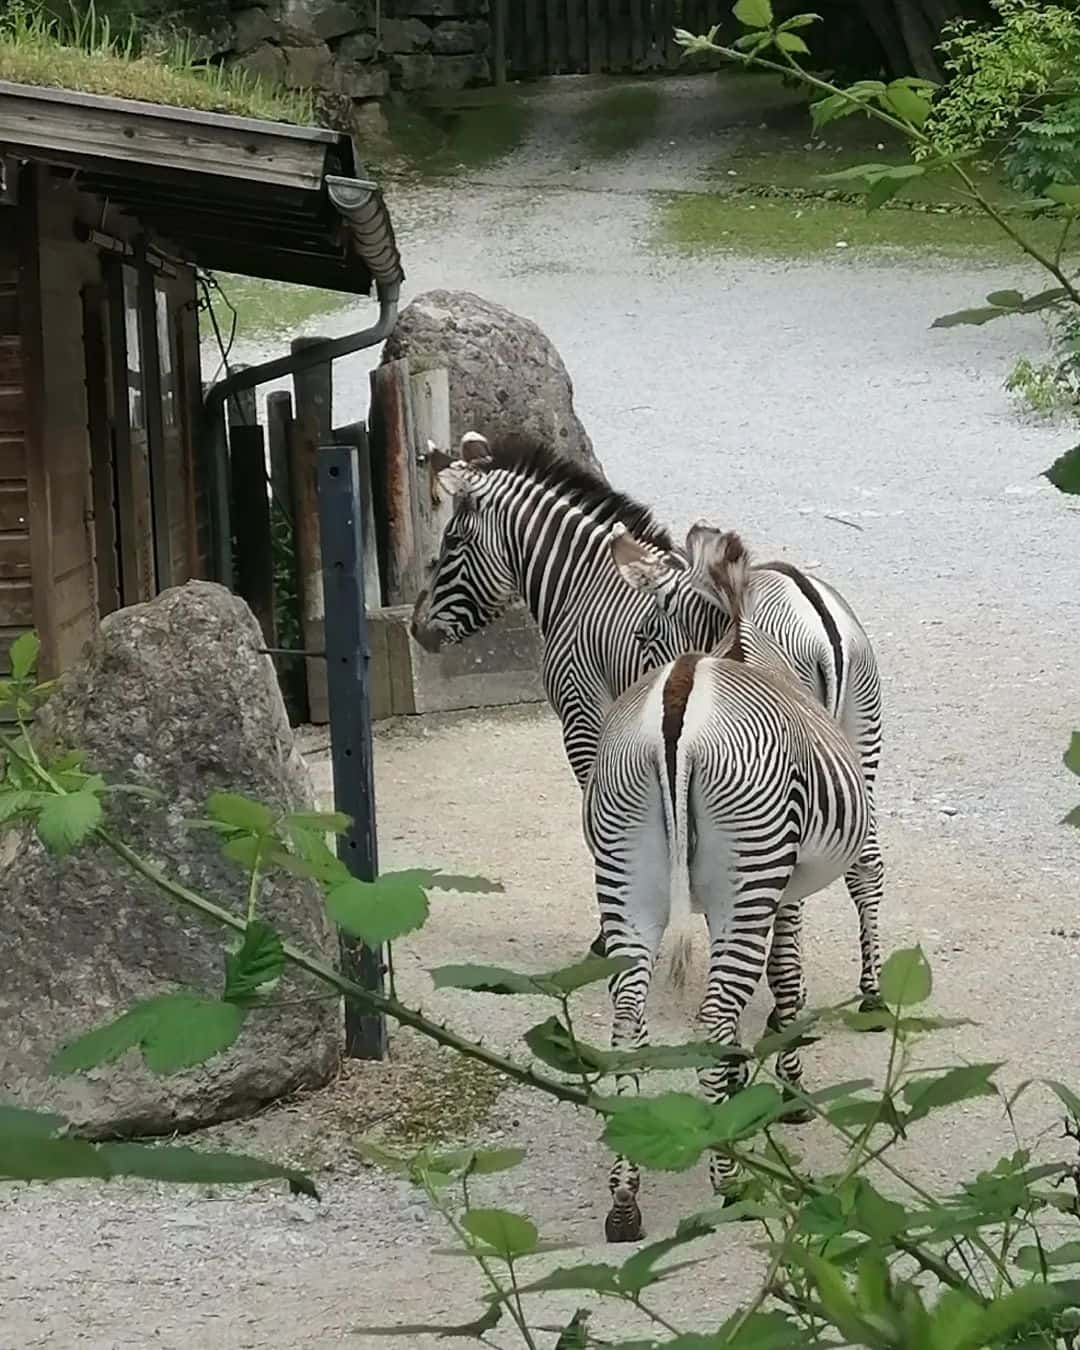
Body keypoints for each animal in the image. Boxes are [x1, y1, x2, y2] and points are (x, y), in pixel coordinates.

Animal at [413, 434, 885, 1015]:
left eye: (451, 541)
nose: (417, 632)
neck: (581, 584)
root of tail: (818, 621)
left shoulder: (582, 720)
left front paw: (607, 940)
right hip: (858, 745)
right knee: (866, 861)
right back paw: (869, 991)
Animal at [585, 526, 874, 1242]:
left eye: (643, 632)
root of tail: (679, 699)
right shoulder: (781, 886)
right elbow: (787, 975)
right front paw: (786, 1090)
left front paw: (742, 1084)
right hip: (750, 874)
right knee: (714, 1014)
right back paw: (730, 1181)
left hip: (625, 878)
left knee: (627, 1021)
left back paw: (625, 1201)